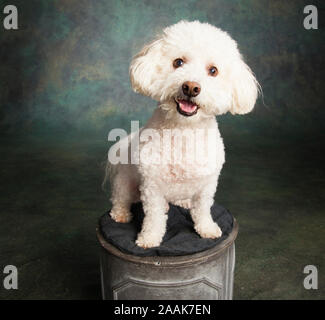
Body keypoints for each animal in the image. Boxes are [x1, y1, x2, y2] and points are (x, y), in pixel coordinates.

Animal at [106, 21, 258, 249]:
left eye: (213, 70)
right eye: (178, 62)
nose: (191, 87)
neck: (184, 130)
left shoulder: (207, 185)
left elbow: (203, 209)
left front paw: (207, 228)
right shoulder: (151, 186)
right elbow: (154, 217)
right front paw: (149, 238)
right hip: (125, 181)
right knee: (121, 198)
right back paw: (121, 214)